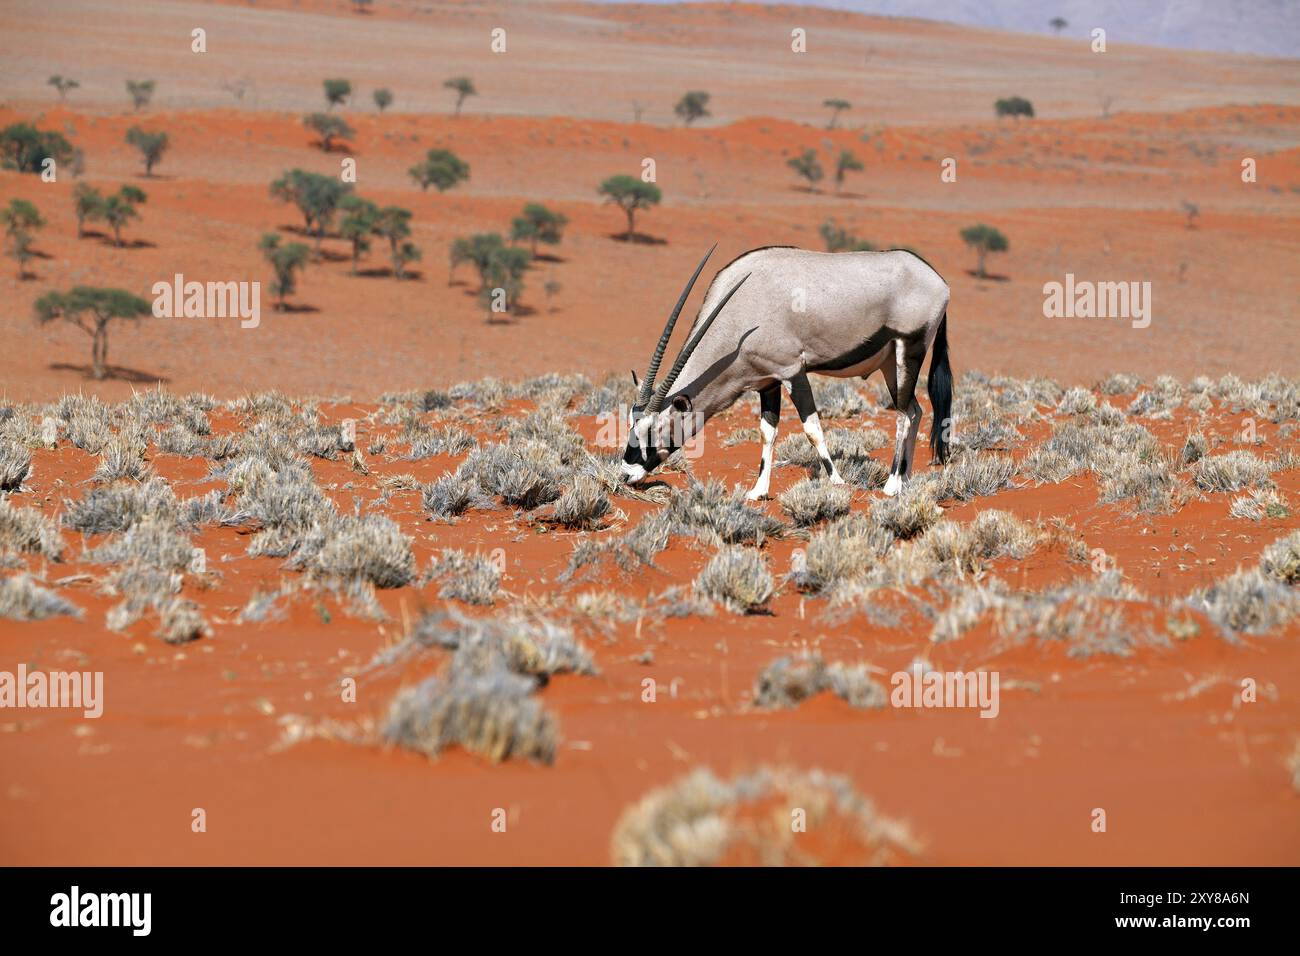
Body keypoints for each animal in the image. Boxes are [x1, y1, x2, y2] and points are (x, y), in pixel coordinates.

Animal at [618, 244, 956, 502]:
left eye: (655, 429)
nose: (626, 474)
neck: (740, 313)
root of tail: (939, 281)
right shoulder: (767, 381)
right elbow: (767, 431)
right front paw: (758, 492)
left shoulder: (792, 370)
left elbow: (812, 428)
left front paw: (836, 482)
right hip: (889, 365)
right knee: (914, 410)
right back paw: (906, 480)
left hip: (909, 350)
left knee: (902, 415)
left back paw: (892, 484)